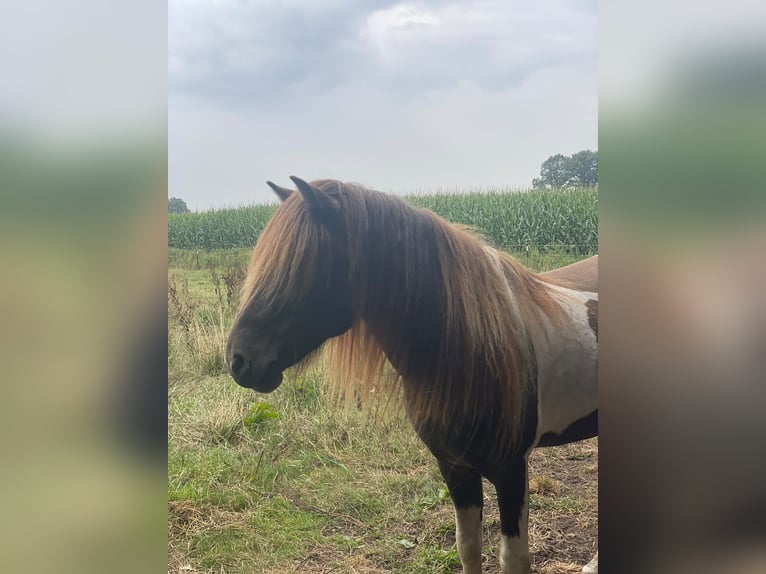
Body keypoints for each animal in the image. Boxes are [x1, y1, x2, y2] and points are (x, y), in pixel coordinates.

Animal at [225, 177, 598, 574]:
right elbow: (468, 546)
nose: (238, 360)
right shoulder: (454, 467)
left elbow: (512, 559)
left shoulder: (511, 471)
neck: (471, 353)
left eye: (303, 266)